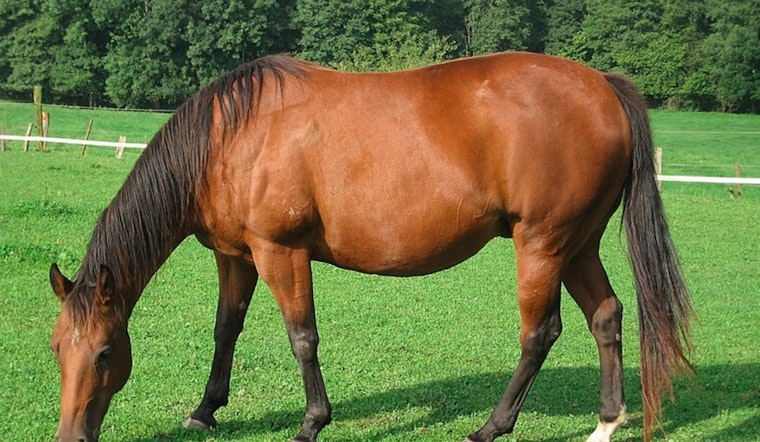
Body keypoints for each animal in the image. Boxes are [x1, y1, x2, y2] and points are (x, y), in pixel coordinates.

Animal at [49, 52, 693, 442]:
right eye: (58, 349)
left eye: (104, 354)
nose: (71, 436)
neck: (230, 136)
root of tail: (602, 86)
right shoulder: (235, 256)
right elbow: (226, 329)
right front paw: (205, 410)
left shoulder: (280, 252)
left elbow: (302, 338)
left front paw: (312, 421)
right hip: (577, 245)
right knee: (606, 316)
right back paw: (607, 422)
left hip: (542, 245)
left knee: (541, 332)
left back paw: (492, 426)